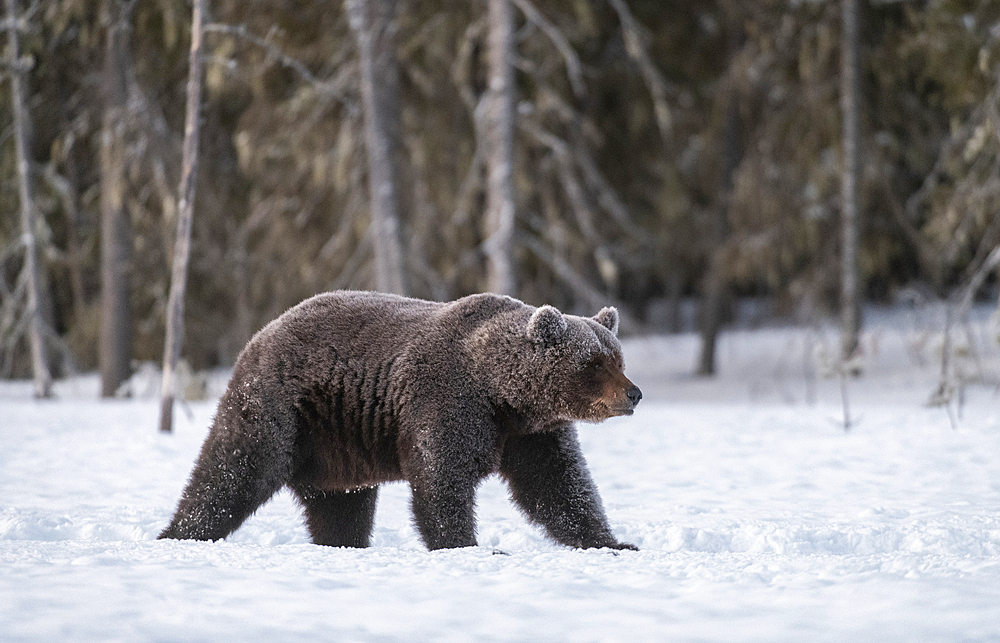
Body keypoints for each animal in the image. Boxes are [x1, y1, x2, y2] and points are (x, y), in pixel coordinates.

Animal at [156, 290, 640, 548]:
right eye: (595, 363)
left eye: (618, 358)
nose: (633, 394)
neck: (502, 394)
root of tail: (258, 336)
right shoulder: (448, 403)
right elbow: (441, 478)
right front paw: (467, 544)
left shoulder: (532, 434)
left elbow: (558, 486)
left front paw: (613, 541)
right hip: (282, 408)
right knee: (234, 468)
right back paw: (181, 532)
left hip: (336, 447)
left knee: (340, 505)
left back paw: (343, 541)